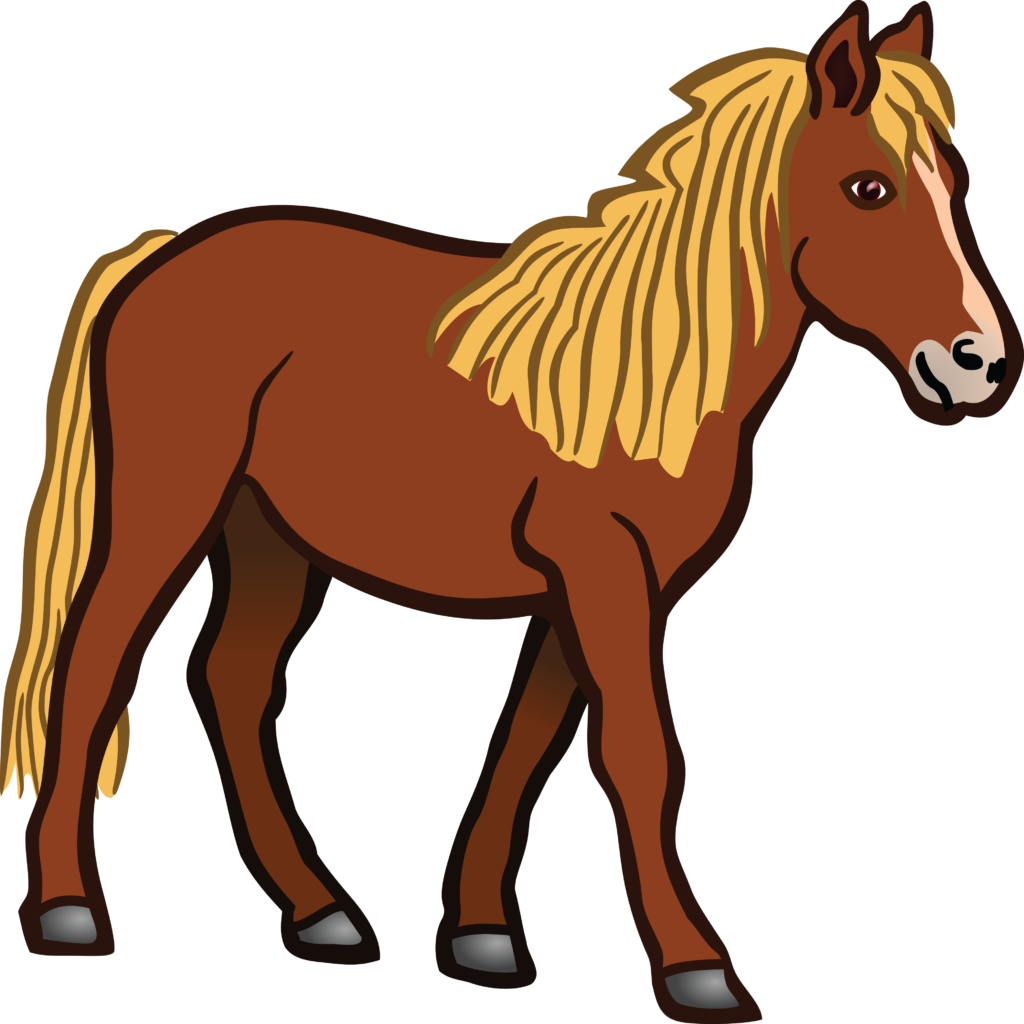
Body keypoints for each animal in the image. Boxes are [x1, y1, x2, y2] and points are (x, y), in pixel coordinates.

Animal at [2, 2, 1017, 1019]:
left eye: (952, 181)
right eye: (868, 188)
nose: (978, 364)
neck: (645, 369)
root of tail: (165, 251)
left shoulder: (597, 584)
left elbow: (531, 743)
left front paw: (483, 935)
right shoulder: (601, 568)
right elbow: (640, 756)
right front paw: (695, 968)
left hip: (266, 537)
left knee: (234, 682)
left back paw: (319, 913)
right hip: (167, 509)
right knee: (94, 665)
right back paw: (67, 910)